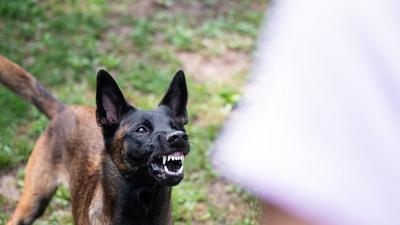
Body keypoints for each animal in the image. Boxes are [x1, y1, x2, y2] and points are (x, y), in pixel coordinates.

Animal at [0, 55, 191, 225]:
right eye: (142, 130)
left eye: (176, 126)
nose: (179, 137)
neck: (143, 203)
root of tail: (64, 109)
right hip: (33, 201)